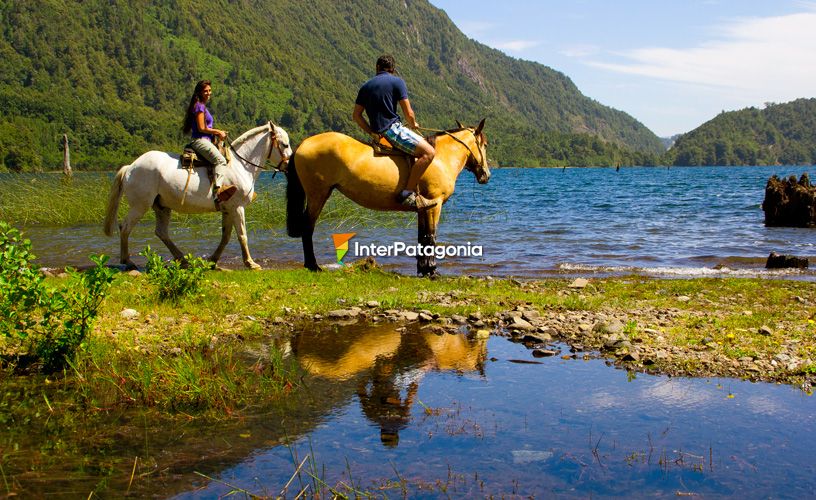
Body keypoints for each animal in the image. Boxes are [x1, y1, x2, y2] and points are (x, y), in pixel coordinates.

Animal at [103, 121, 292, 270]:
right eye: (284, 144)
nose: (290, 166)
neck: (240, 165)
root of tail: (130, 167)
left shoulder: (228, 209)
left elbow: (225, 237)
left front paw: (213, 261)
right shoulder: (237, 207)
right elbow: (242, 235)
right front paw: (251, 263)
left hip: (162, 207)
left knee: (161, 232)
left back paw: (183, 260)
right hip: (140, 206)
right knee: (125, 227)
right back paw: (128, 261)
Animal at [286, 119, 490, 276]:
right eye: (485, 145)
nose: (486, 175)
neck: (440, 158)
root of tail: (303, 144)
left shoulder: (423, 208)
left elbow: (422, 237)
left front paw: (423, 269)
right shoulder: (435, 204)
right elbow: (431, 236)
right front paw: (432, 270)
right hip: (318, 194)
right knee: (308, 227)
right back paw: (313, 266)